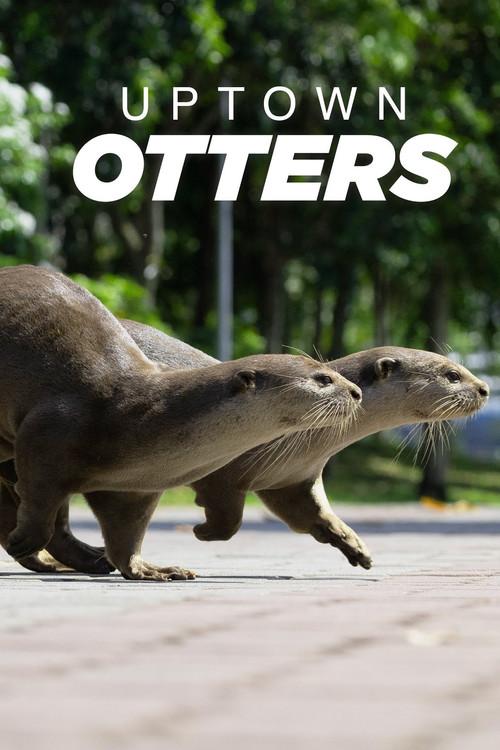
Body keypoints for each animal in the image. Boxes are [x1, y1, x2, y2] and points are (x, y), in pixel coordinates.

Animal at [0, 265, 362, 580]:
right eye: (323, 379)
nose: (356, 391)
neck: (137, 416)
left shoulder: (133, 488)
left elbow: (126, 533)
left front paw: (149, 569)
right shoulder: (47, 434)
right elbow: (39, 499)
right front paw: (25, 538)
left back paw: (87, 559)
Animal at [2, 319, 488, 575]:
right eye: (450, 374)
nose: (484, 388)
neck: (303, 443)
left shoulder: (293, 479)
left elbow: (316, 515)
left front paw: (356, 546)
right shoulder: (225, 472)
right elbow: (229, 519)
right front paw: (202, 532)